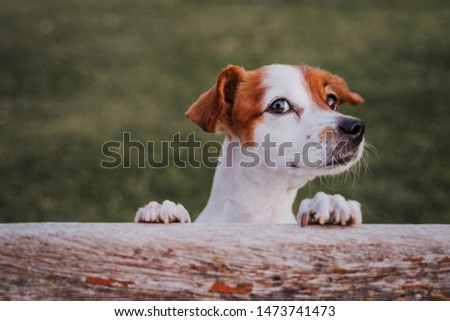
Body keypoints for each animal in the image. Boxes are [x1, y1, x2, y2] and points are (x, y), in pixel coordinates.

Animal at [134, 63, 366, 226]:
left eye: (332, 101)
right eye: (279, 105)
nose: (357, 127)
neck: (263, 206)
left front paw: (329, 203)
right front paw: (162, 211)